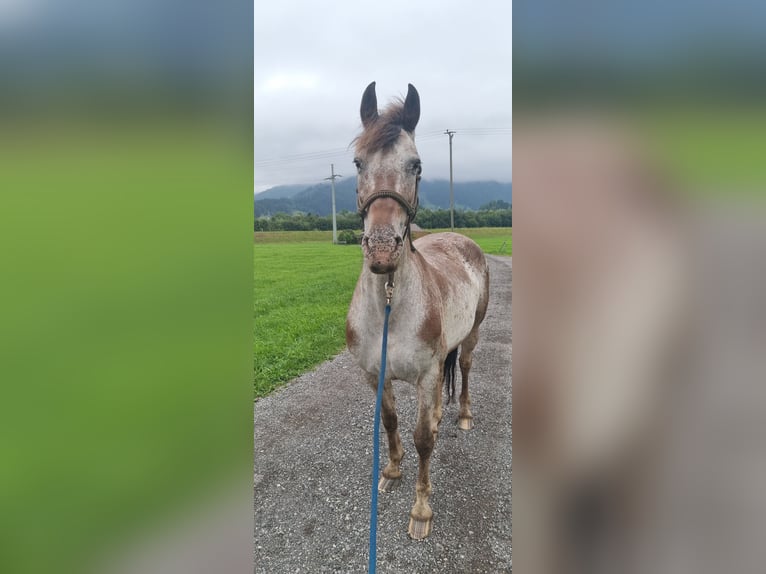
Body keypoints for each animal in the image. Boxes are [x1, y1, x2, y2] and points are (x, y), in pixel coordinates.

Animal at [348, 83, 492, 544]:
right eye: (358, 162)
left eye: (416, 165)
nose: (381, 250)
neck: (390, 309)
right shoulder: (375, 374)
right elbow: (391, 422)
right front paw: (392, 471)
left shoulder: (427, 376)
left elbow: (423, 440)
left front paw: (421, 509)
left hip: (472, 334)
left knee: (463, 368)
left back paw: (461, 415)